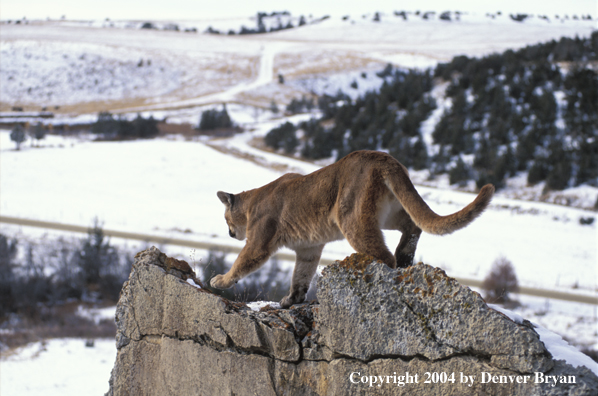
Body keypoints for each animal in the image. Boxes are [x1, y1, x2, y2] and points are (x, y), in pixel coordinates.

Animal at [213, 150, 494, 308]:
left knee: (383, 255)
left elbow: (242, 261)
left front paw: (220, 280)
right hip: (389, 212)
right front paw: (292, 300)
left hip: (352, 219)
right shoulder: (308, 248)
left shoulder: (258, 243)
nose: (229, 233)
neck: (251, 204)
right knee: (414, 225)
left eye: (225, 219)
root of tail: (382, 156)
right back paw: (405, 256)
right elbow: (301, 275)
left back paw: (388, 273)